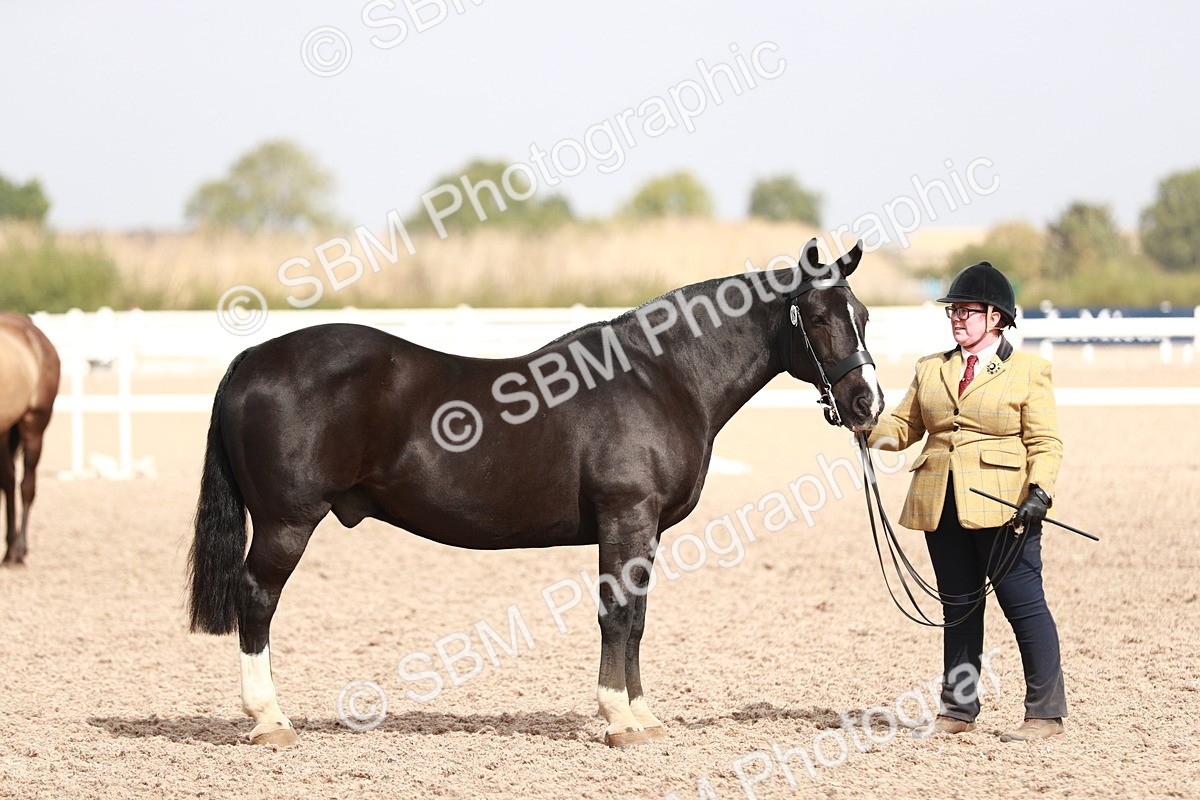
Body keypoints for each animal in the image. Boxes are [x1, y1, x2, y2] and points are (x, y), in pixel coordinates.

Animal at [187, 239, 884, 747]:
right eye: (819, 317)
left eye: (865, 316)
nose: (867, 404)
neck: (661, 378)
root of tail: (250, 360)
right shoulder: (626, 519)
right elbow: (617, 615)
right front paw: (620, 721)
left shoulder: (645, 531)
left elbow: (637, 620)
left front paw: (643, 716)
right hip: (286, 523)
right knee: (257, 600)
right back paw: (269, 720)